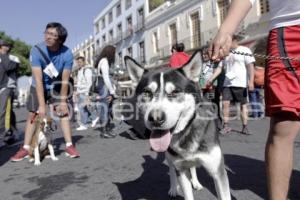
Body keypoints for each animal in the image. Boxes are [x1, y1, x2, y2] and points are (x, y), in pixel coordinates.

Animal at [125, 50, 231, 200]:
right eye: (147, 92)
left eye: (175, 92)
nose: (156, 118)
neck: (187, 131)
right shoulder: (181, 169)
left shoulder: (218, 172)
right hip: (170, 157)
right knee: (172, 169)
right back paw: (174, 188)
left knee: (192, 167)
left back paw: (196, 183)